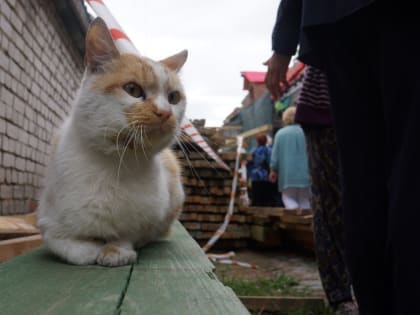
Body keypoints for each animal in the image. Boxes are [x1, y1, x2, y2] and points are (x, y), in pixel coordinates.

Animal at [37, 17, 188, 266]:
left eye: (173, 97)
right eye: (133, 89)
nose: (166, 112)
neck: (117, 162)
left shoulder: (150, 220)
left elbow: (130, 233)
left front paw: (116, 250)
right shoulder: (47, 223)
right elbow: (67, 245)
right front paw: (91, 249)